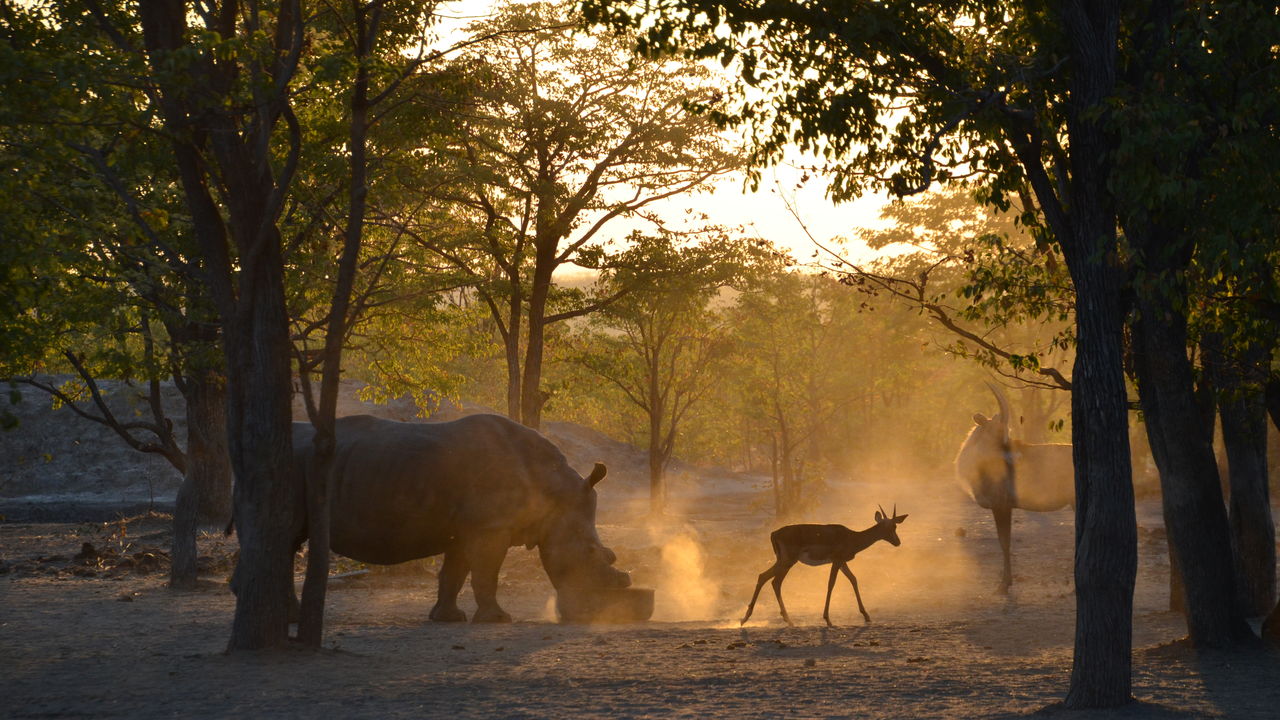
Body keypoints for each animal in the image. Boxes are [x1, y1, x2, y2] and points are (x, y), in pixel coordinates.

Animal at [742, 504, 911, 622]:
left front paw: (866, 615)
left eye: (895, 525)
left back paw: (748, 618)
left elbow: (854, 580)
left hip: (783, 560)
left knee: (764, 577)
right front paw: (827, 618)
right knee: (774, 581)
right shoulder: (836, 561)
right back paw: (786, 620)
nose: (897, 542)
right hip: (788, 560)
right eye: (889, 526)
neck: (852, 537)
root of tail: (774, 533)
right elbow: (831, 583)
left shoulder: (842, 562)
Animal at [957, 384, 1075, 591]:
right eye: (998, 429)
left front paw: (1004, 584)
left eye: (1007, 430)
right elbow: (1005, 541)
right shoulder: (1004, 507)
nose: (1013, 458)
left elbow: (1004, 542)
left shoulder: (1001, 506)